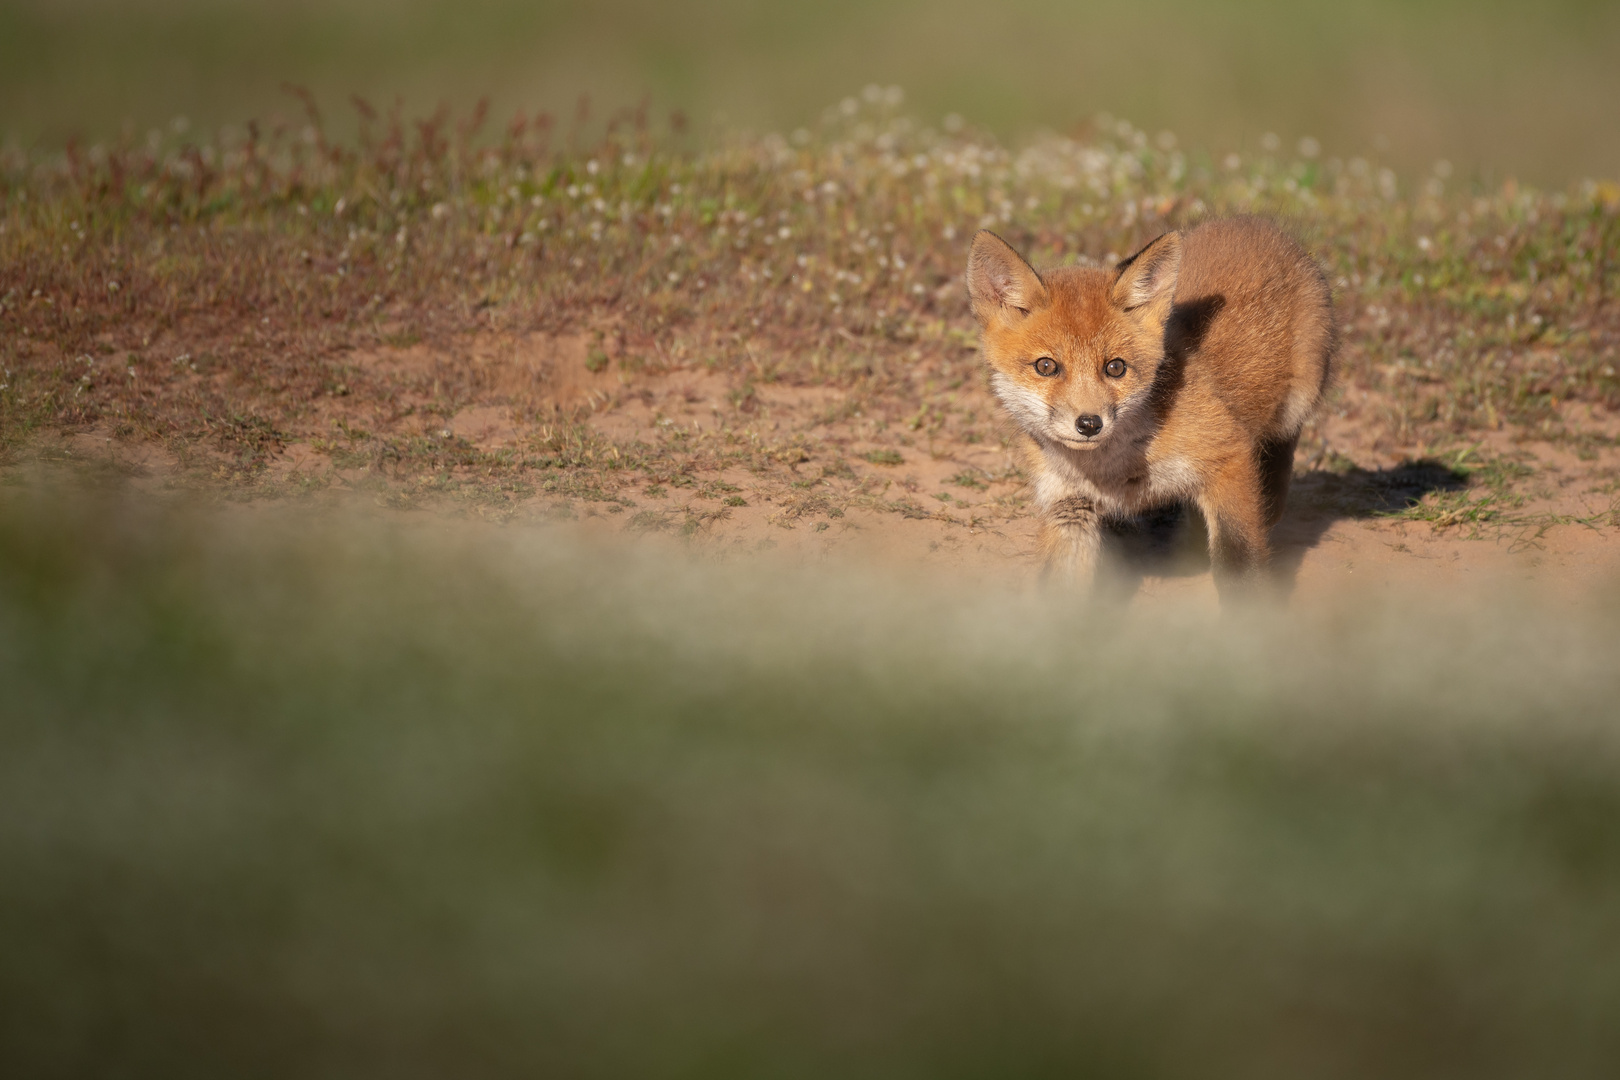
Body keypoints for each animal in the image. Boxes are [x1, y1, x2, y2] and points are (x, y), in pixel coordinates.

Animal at [965, 215, 1334, 595]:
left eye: (1115, 367)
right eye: (1046, 366)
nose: (1089, 424)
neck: (1109, 472)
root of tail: (1253, 223)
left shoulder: (1228, 456)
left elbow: (1240, 566)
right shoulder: (1068, 507)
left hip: (1295, 406)